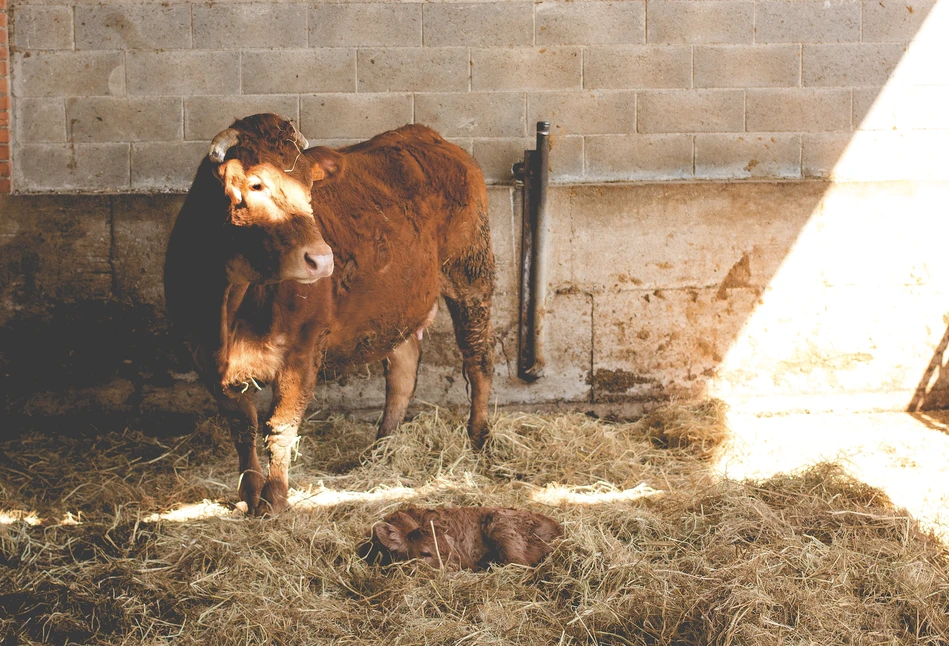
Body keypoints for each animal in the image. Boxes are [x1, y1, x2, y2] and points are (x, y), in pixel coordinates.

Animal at [167, 112, 496, 516]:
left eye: (309, 189)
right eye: (256, 184)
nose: (322, 260)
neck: (230, 305)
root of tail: (426, 135)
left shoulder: (303, 350)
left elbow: (280, 428)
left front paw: (275, 501)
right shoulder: (204, 357)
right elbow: (243, 428)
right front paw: (249, 496)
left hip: (472, 275)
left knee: (478, 360)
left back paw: (478, 438)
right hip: (396, 305)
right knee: (403, 369)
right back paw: (381, 448)